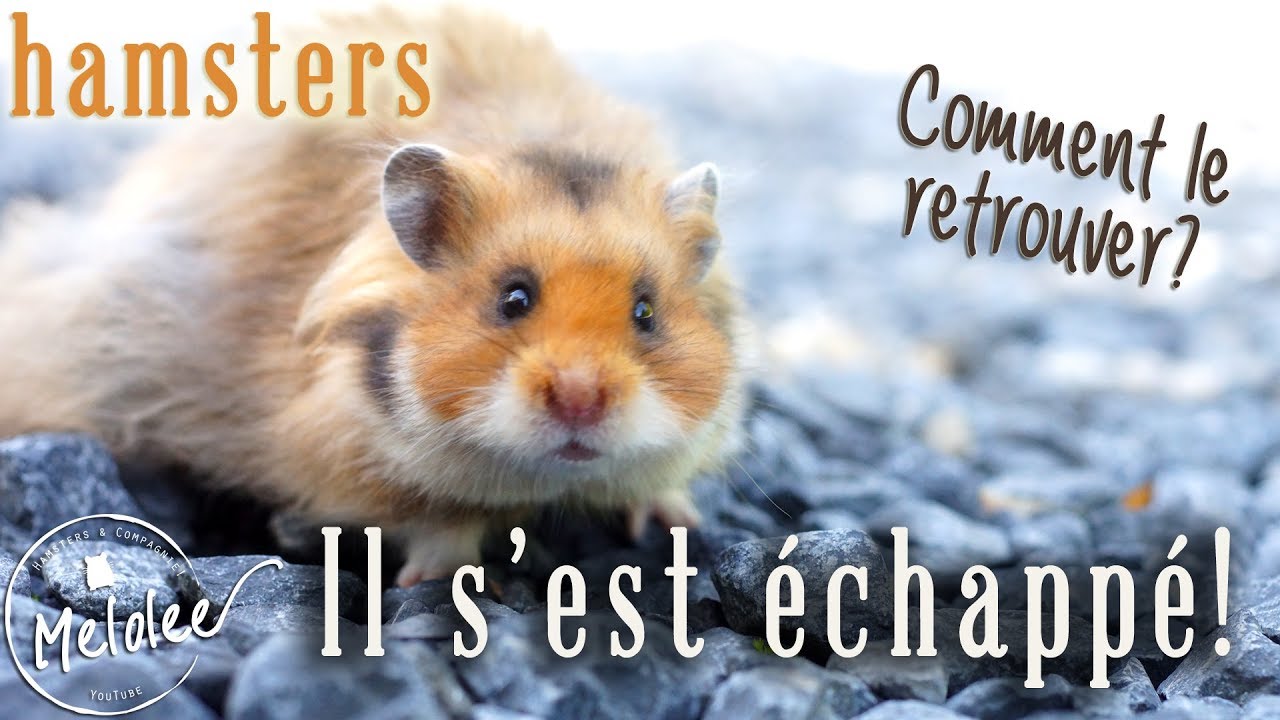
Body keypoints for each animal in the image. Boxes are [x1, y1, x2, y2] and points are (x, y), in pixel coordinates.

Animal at [0, 7, 749, 586]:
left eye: (646, 313)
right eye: (513, 299)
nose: (582, 400)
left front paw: (676, 522)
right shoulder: (336, 450)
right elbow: (439, 521)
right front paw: (445, 581)